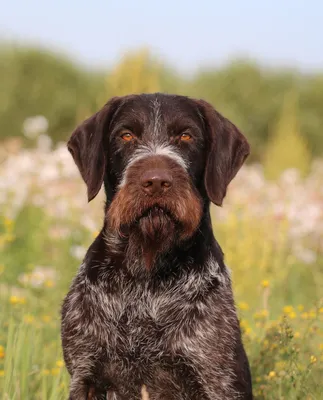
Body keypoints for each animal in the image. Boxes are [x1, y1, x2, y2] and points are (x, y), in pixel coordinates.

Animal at [60, 92, 253, 398]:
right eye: (126, 135)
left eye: (186, 136)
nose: (156, 181)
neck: (146, 278)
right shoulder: (85, 375)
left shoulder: (216, 380)